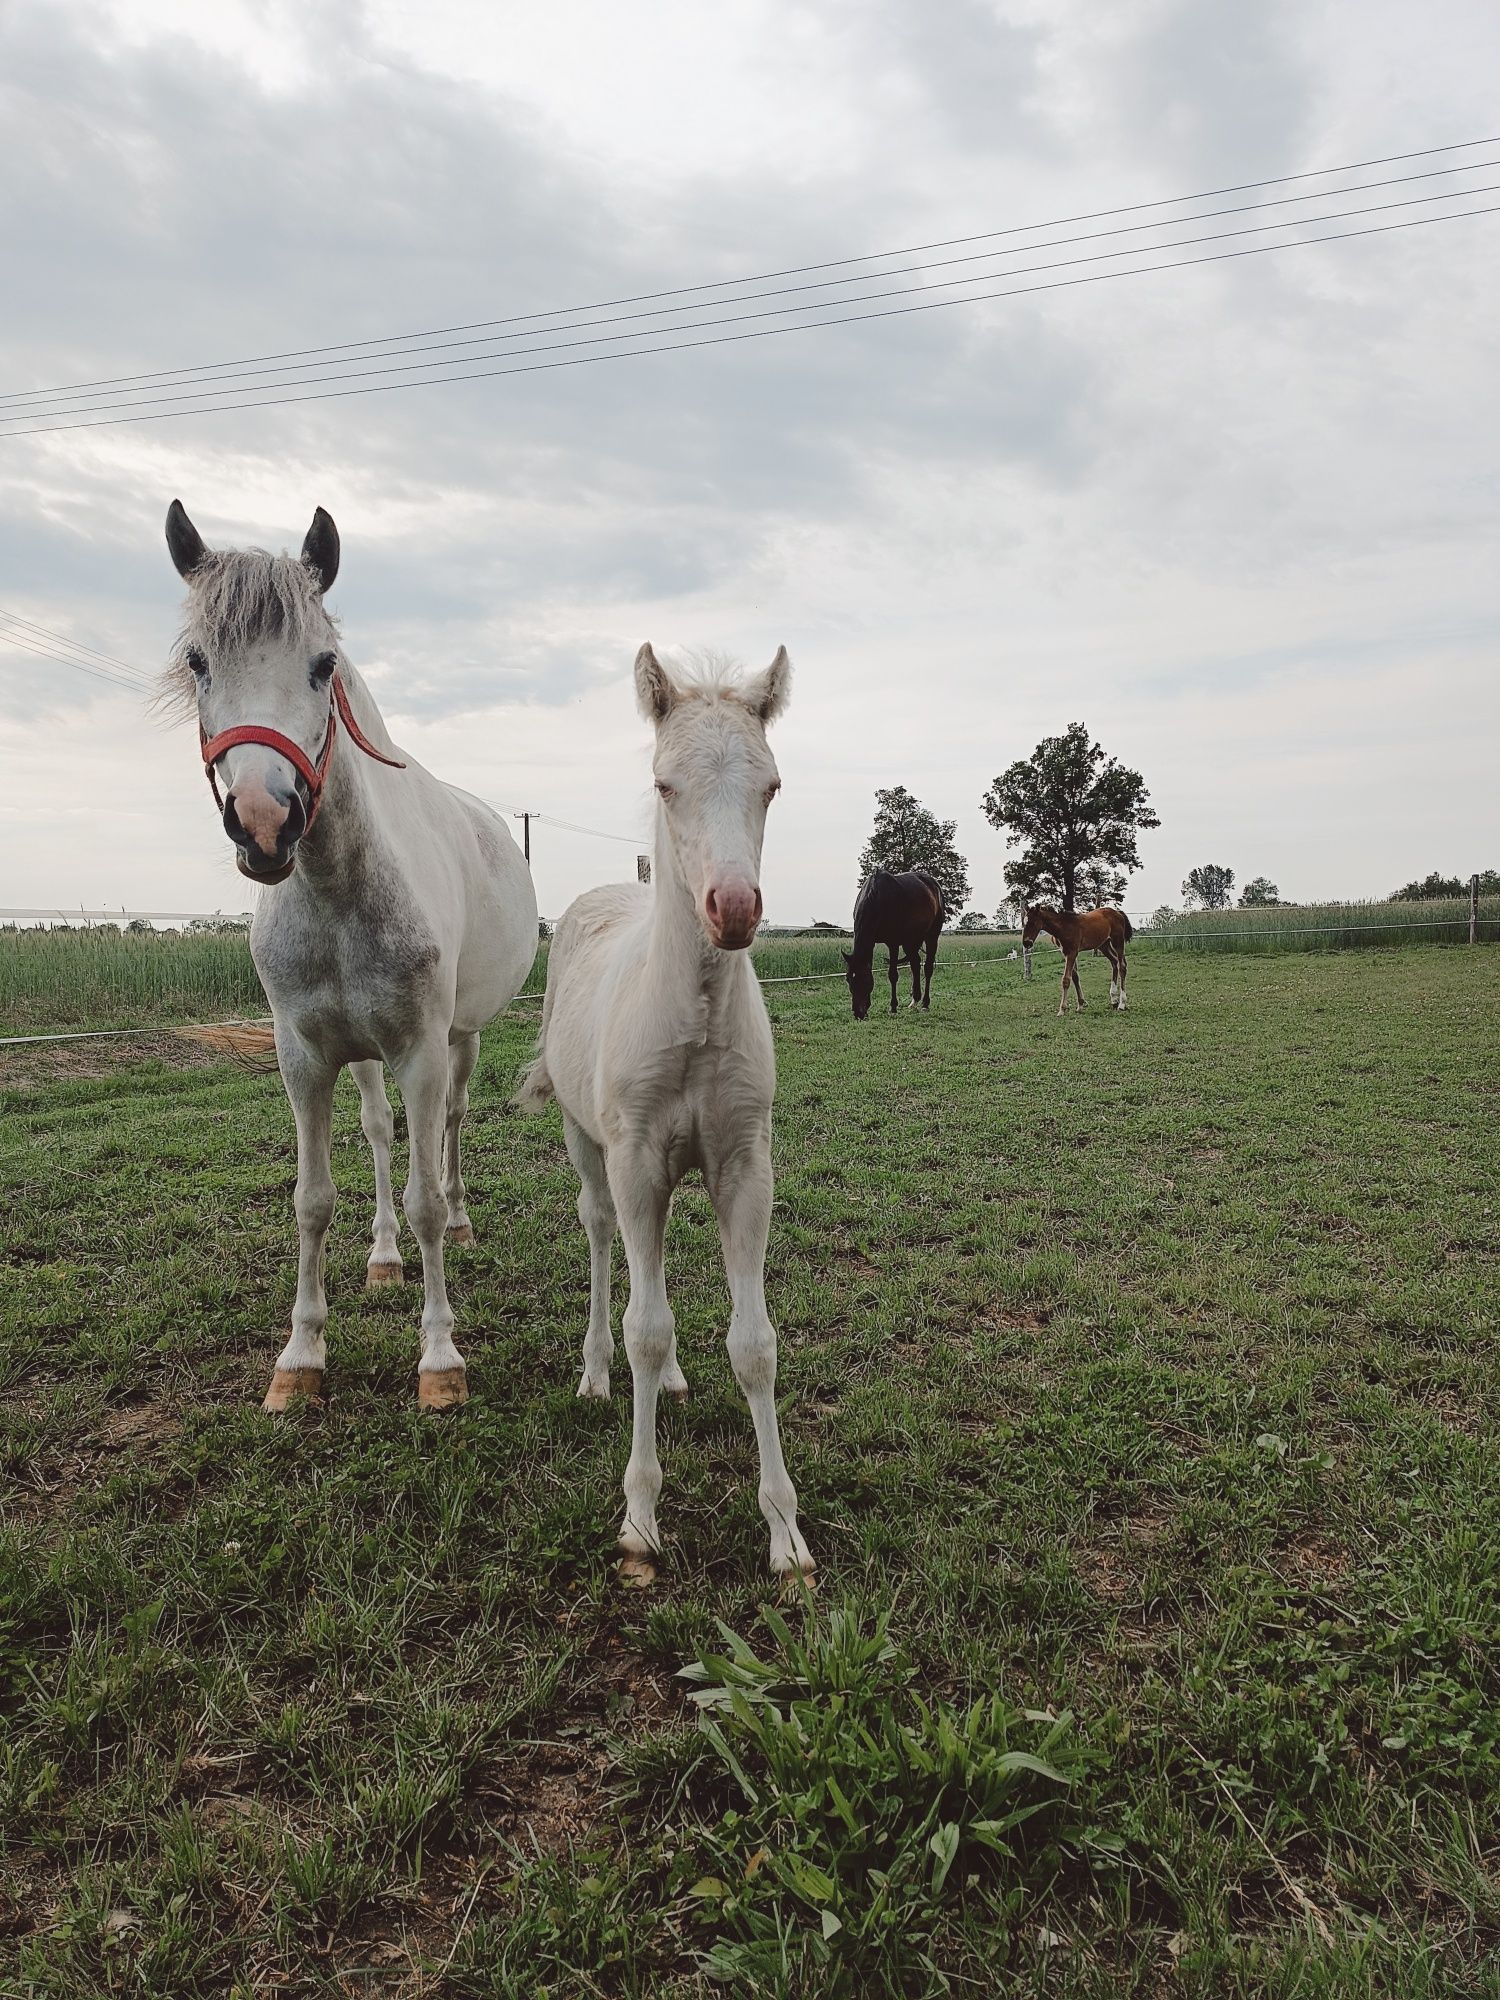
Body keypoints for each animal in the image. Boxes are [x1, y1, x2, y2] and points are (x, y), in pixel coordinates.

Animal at [167, 500, 540, 1408]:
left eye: (322, 664)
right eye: (198, 663)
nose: (265, 821)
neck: (337, 890)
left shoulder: (421, 1048)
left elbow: (426, 1198)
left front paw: (440, 1359)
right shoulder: (304, 1057)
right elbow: (313, 1198)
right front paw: (301, 1355)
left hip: (459, 1038)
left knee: (450, 1127)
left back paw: (461, 1219)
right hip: (365, 1054)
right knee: (378, 1133)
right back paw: (381, 1259)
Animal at [516, 644, 812, 1576]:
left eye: (771, 785)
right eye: (664, 784)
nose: (736, 907)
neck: (692, 1022)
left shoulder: (744, 1165)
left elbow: (754, 1344)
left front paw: (785, 1532)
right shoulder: (636, 1158)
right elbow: (643, 1325)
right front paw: (640, 1520)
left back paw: (676, 1378)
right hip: (591, 1148)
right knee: (604, 1238)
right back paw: (595, 1373)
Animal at [848, 864, 940, 1016]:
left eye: (866, 980)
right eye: (848, 979)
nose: (858, 1013)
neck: (876, 897)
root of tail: (933, 884)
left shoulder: (893, 943)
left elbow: (892, 975)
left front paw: (893, 1007)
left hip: (932, 936)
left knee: (927, 968)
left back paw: (925, 1004)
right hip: (910, 941)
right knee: (915, 964)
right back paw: (914, 1001)